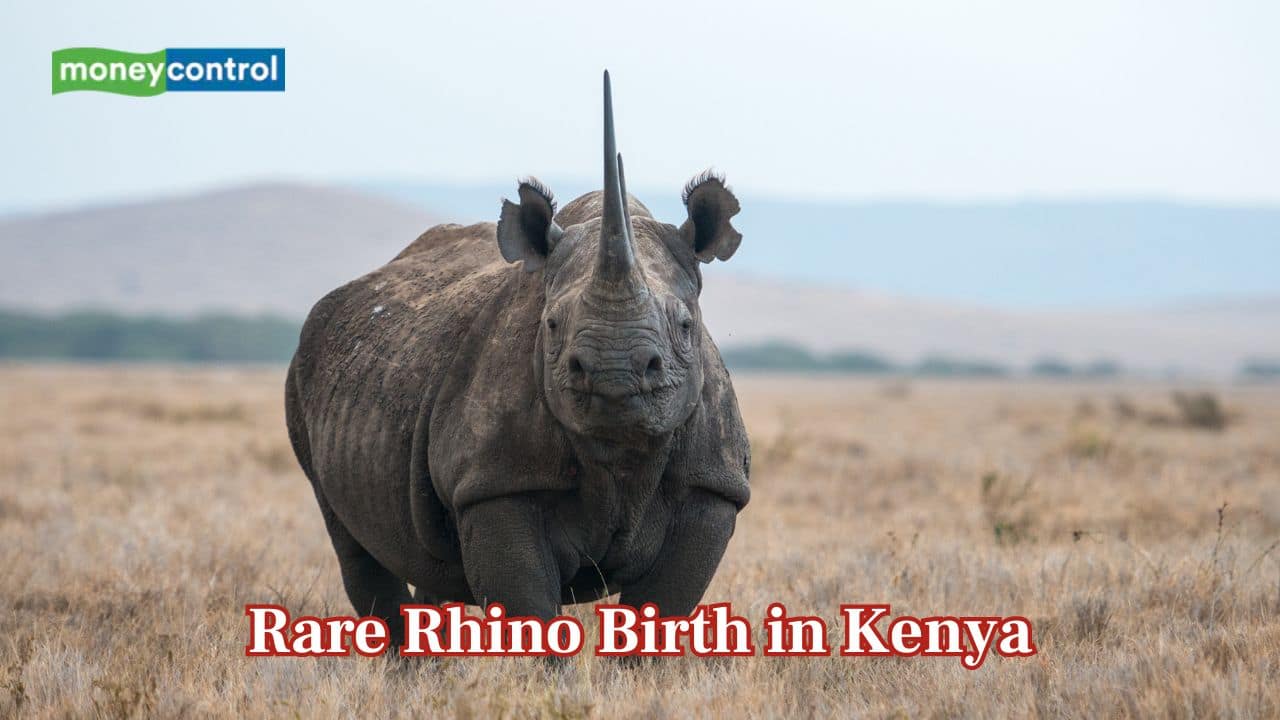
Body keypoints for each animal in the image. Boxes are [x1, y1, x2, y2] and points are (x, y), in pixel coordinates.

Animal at [285, 71, 749, 645]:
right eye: (550, 326)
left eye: (686, 327)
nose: (614, 374)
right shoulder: (495, 482)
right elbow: (532, 611)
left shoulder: (713, 483)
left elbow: (660, 613)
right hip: (302, 376)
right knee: (353, 543)